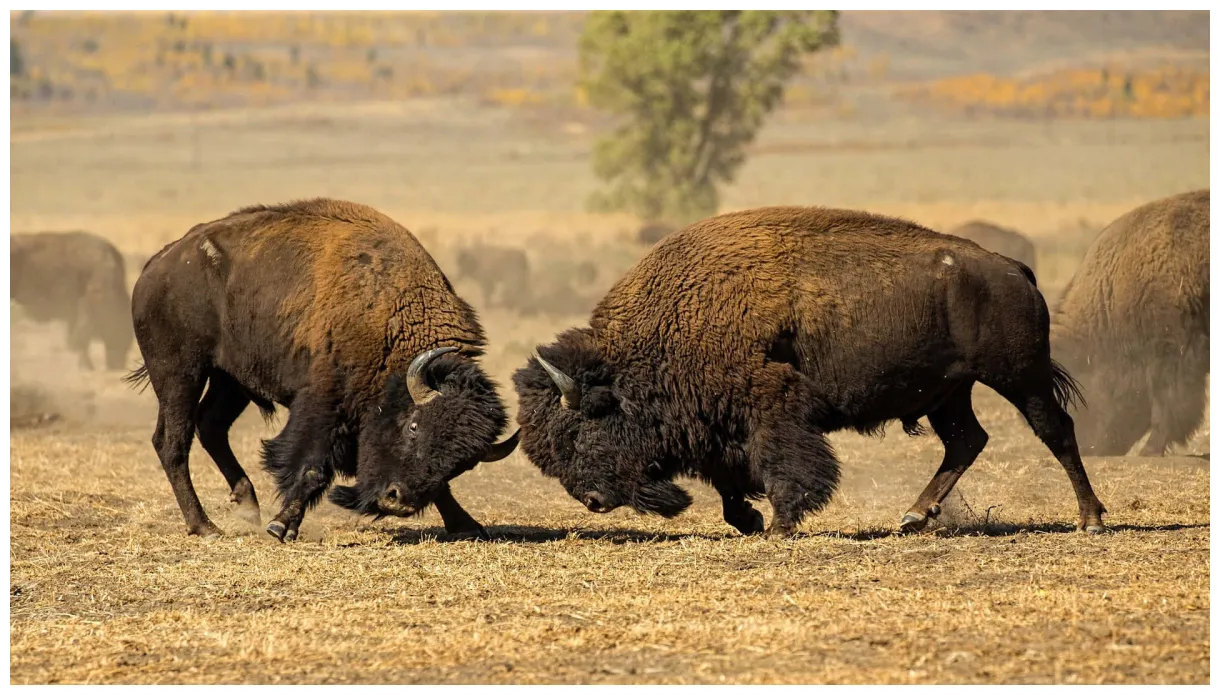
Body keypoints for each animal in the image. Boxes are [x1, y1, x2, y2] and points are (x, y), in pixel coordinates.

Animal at [127, 199, 518, 540]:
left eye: (462, 463)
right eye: (413, 426)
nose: (397, 502)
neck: (393, 317)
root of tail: (157, 266)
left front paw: (466, 524)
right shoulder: (322, 403)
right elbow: (312, 467)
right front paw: (281, 527)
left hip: (230, 381)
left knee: (211, 427)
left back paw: (247, 506)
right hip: (181, 374)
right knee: (172, 442)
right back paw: (205, 527)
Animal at [514, 206, 1107, 537]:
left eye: (577, 431)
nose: (593, 501)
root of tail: (1015, 269)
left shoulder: (770, 408)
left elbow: (782, 465)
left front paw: (779, 525)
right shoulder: (719, 424)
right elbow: (728, 478)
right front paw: (750, 521)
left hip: (1018, 377)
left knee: (1056, 431)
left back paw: (1090, 519)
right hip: (950, 393)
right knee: (966, 441)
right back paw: (914, 518)